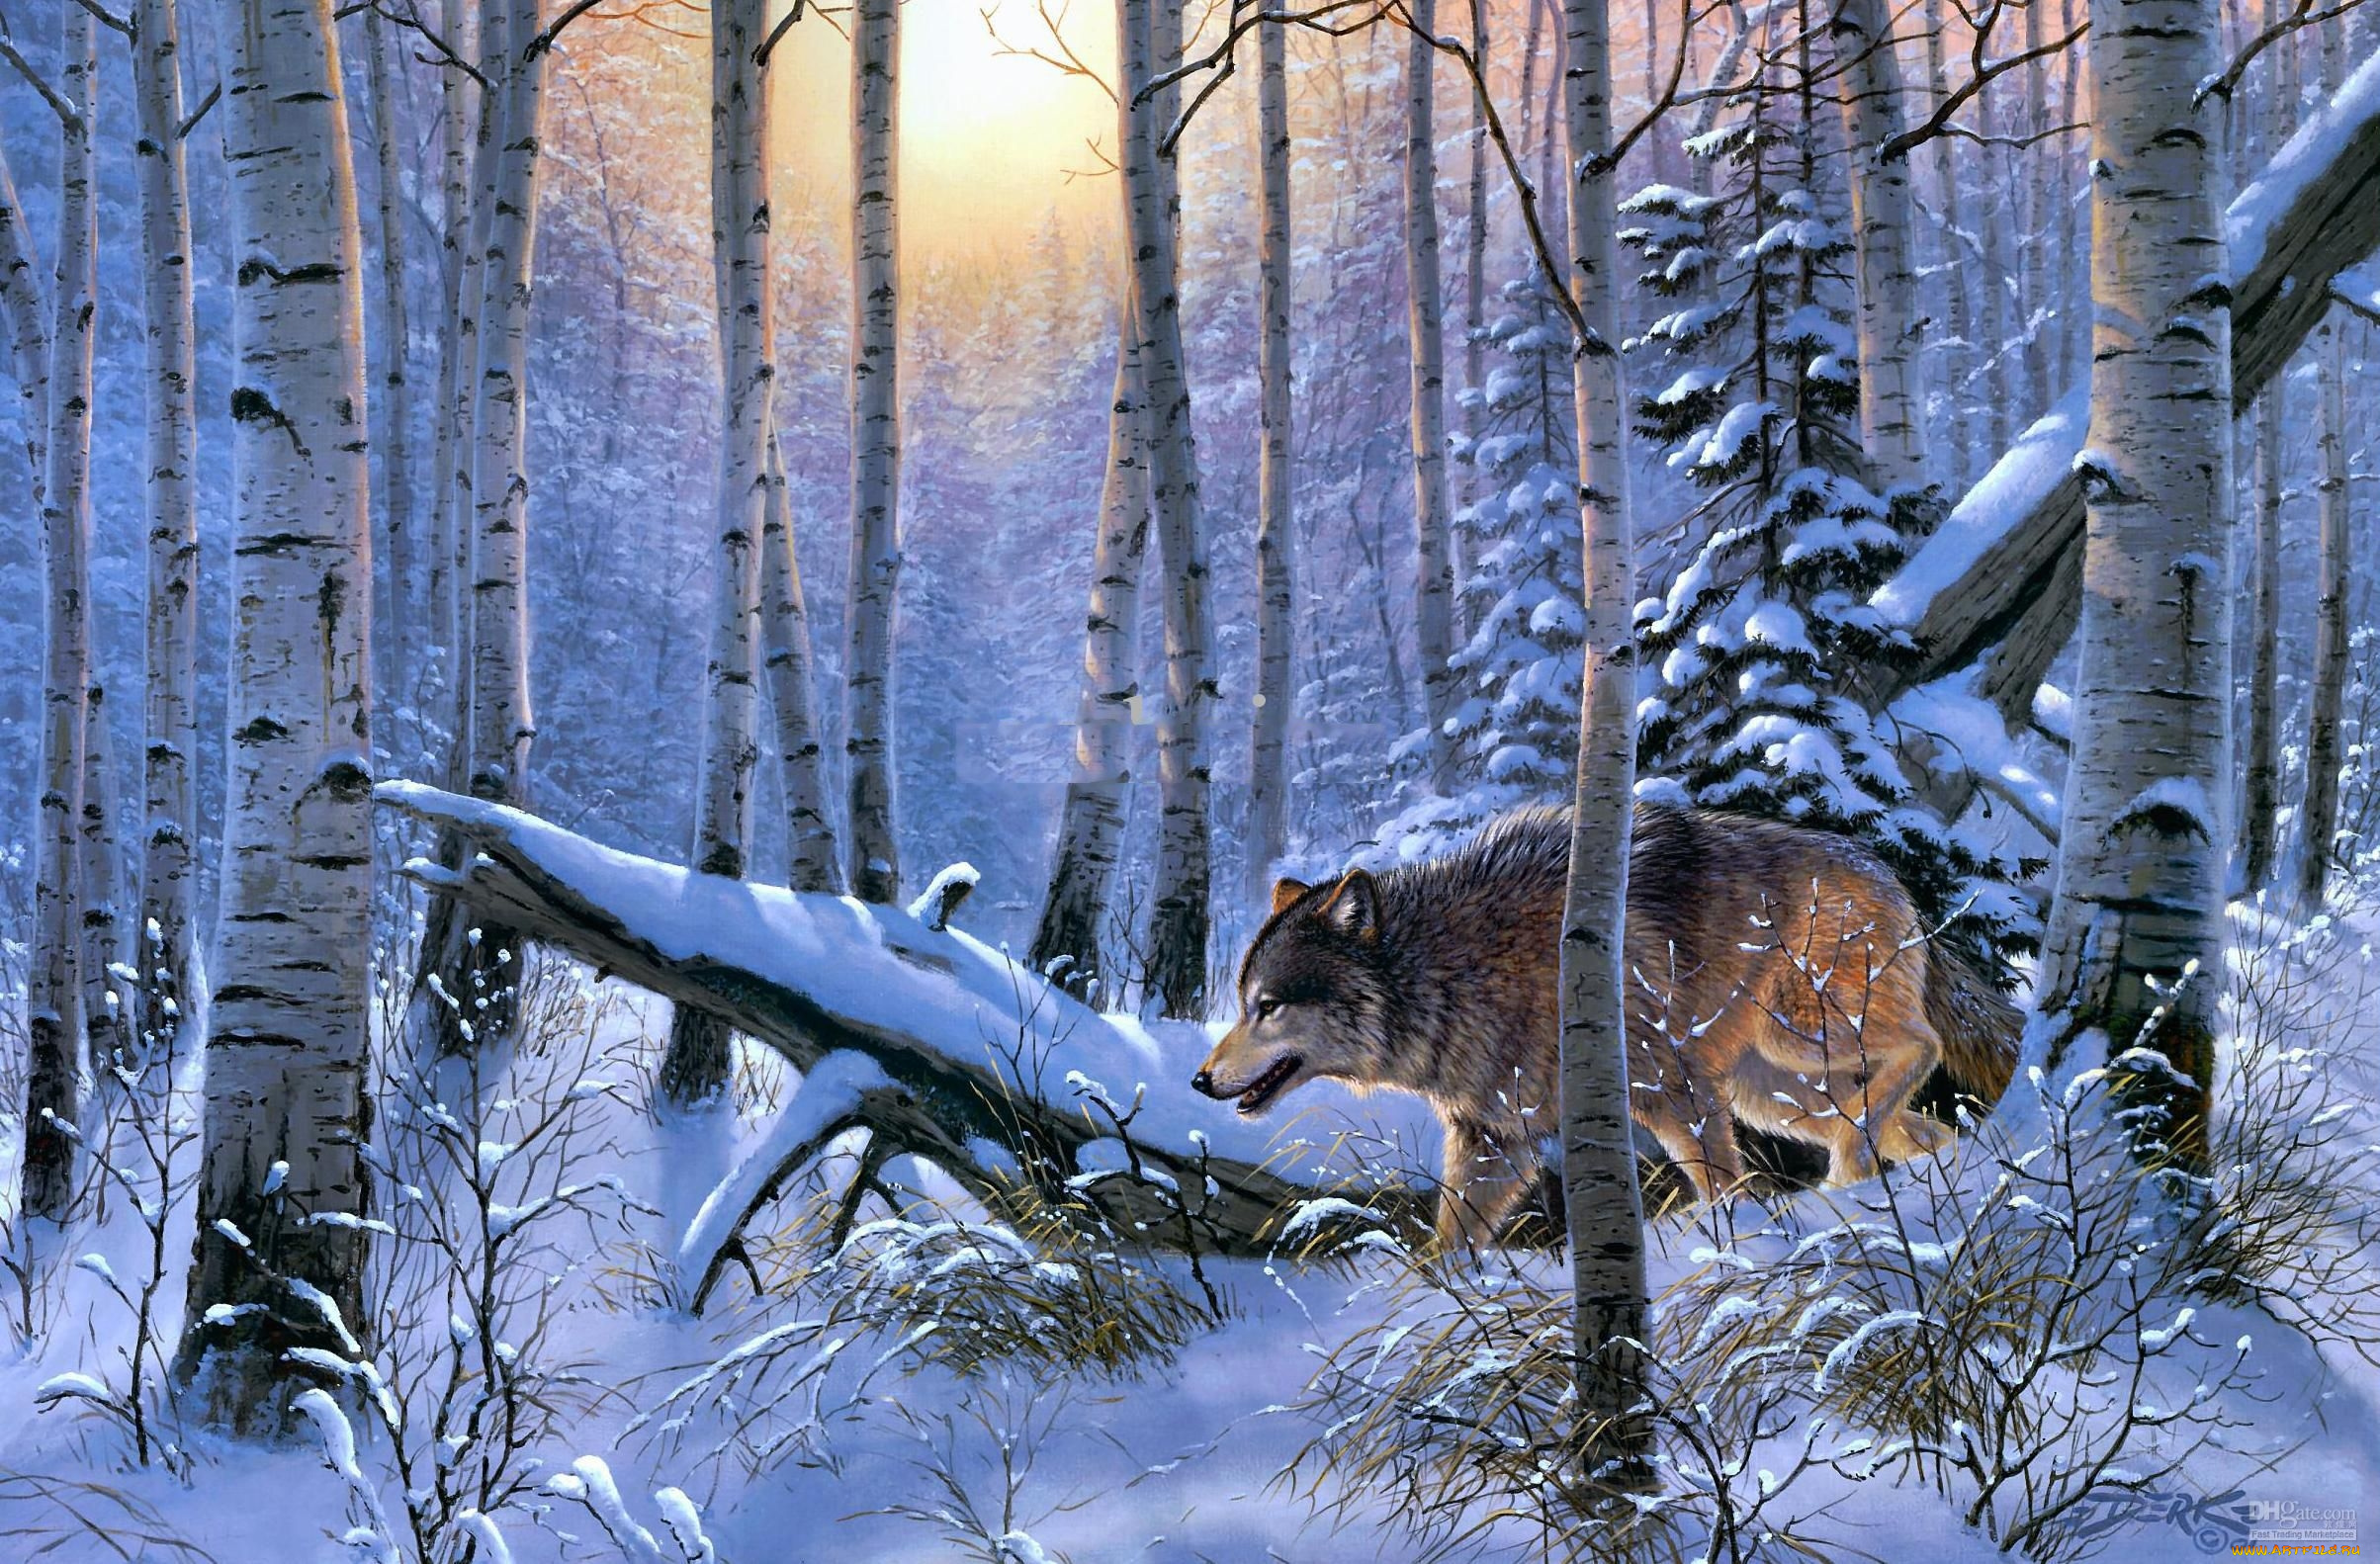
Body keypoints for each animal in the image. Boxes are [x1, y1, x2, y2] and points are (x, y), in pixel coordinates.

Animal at [1191, 804, 2020, 1248]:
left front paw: (1734, 1248)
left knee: (1921, 1047)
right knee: (1919, 1126)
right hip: (1776, 1095)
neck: (1460, 974)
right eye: (1242, 1002)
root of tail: (1884, 870)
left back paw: (1850, 1172)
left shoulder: (1674, 1094)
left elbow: (1723, 1188)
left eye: (1268, 1006)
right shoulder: (1494, 1141)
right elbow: (1448, 1241)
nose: (1199, 1080)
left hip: (1800, 1037)